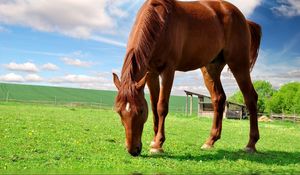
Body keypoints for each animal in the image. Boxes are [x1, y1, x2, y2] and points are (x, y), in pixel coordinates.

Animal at [113, 0, 262, 157]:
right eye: (119, 111)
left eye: (141, 111)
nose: (133, 150)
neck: (161, 22)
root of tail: (244, 19)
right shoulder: (151, 74)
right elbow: (154, 107)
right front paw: (154, 141)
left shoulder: (168, 70)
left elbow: (161, 107)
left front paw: (158, 144)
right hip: (211, 68)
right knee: (219, 98)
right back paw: (210, 141)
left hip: (239, 64)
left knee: (250, 98)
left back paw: (251, 144)